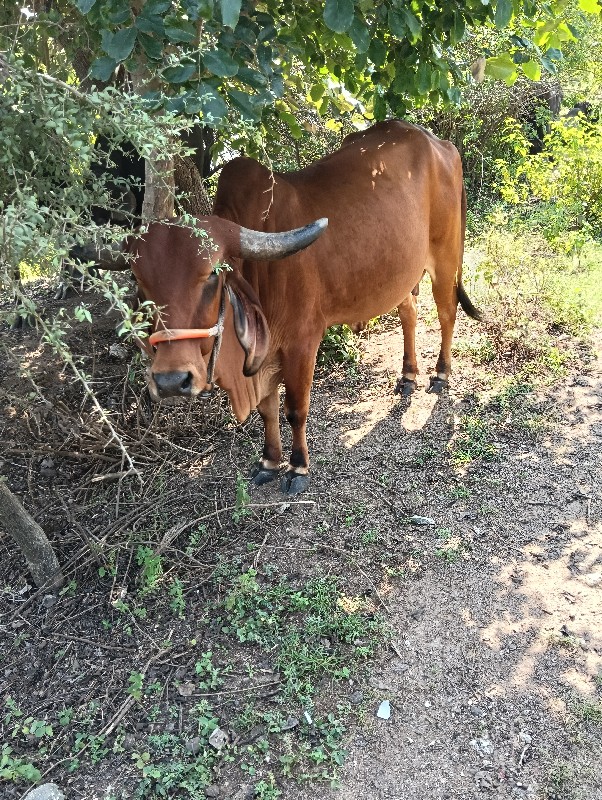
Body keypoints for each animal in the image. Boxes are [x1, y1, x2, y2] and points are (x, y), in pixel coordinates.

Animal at [110, 120, 480, 494]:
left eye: (213, 273)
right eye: (138, 280)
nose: (172, 381)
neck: (256, 270)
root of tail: (440, 143)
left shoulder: (302, 343)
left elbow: (295, 409)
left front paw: (298, 466)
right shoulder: (262, 354)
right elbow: (267, 410)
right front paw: (270, 460)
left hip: (445, 258)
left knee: (447, 314)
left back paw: (441, 374)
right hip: (399, 275)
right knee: (409, 313)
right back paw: (407, 376)